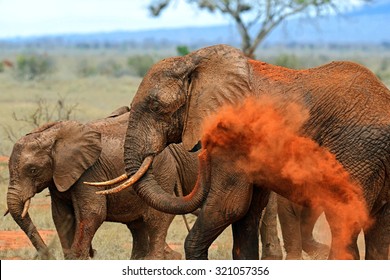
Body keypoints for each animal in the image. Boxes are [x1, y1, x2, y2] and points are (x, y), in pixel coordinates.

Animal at [4, 107, 197, 260]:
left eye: (33, 170)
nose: (49, 256)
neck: (50, 136)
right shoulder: (57, 176)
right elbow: (62, 216)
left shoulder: (89, 171)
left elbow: (93, 212)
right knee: (137, 225)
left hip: (161, 172)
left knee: (155, 219)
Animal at [98, 44, 390, 260]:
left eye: (156, 107)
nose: (200, 151)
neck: (195, 62)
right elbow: (246, 212)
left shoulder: (233, 135)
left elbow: (229, 206)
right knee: (379, 234)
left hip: (357, 154)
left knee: (345, 223)